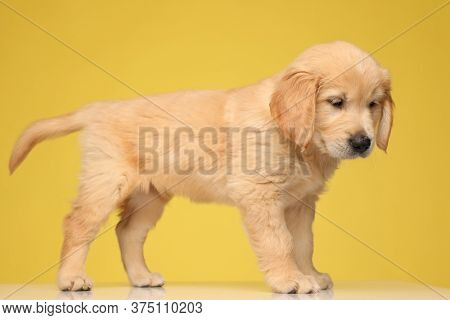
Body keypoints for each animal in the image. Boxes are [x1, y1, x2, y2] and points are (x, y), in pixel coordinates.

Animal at [8, 41, 392, 294]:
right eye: (336, 102)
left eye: (373, 104)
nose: (363, 142)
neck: (299, 139)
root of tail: (97, 108)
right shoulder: (259, 194)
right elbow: (278, 241)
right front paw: (290, 280)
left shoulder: (301, 201)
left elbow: (303, 242)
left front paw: (309, 274)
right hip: (106, 181)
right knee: (78, 225)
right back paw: (71, 278)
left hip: (150, 195)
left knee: (127, 231)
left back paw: (141, 278)